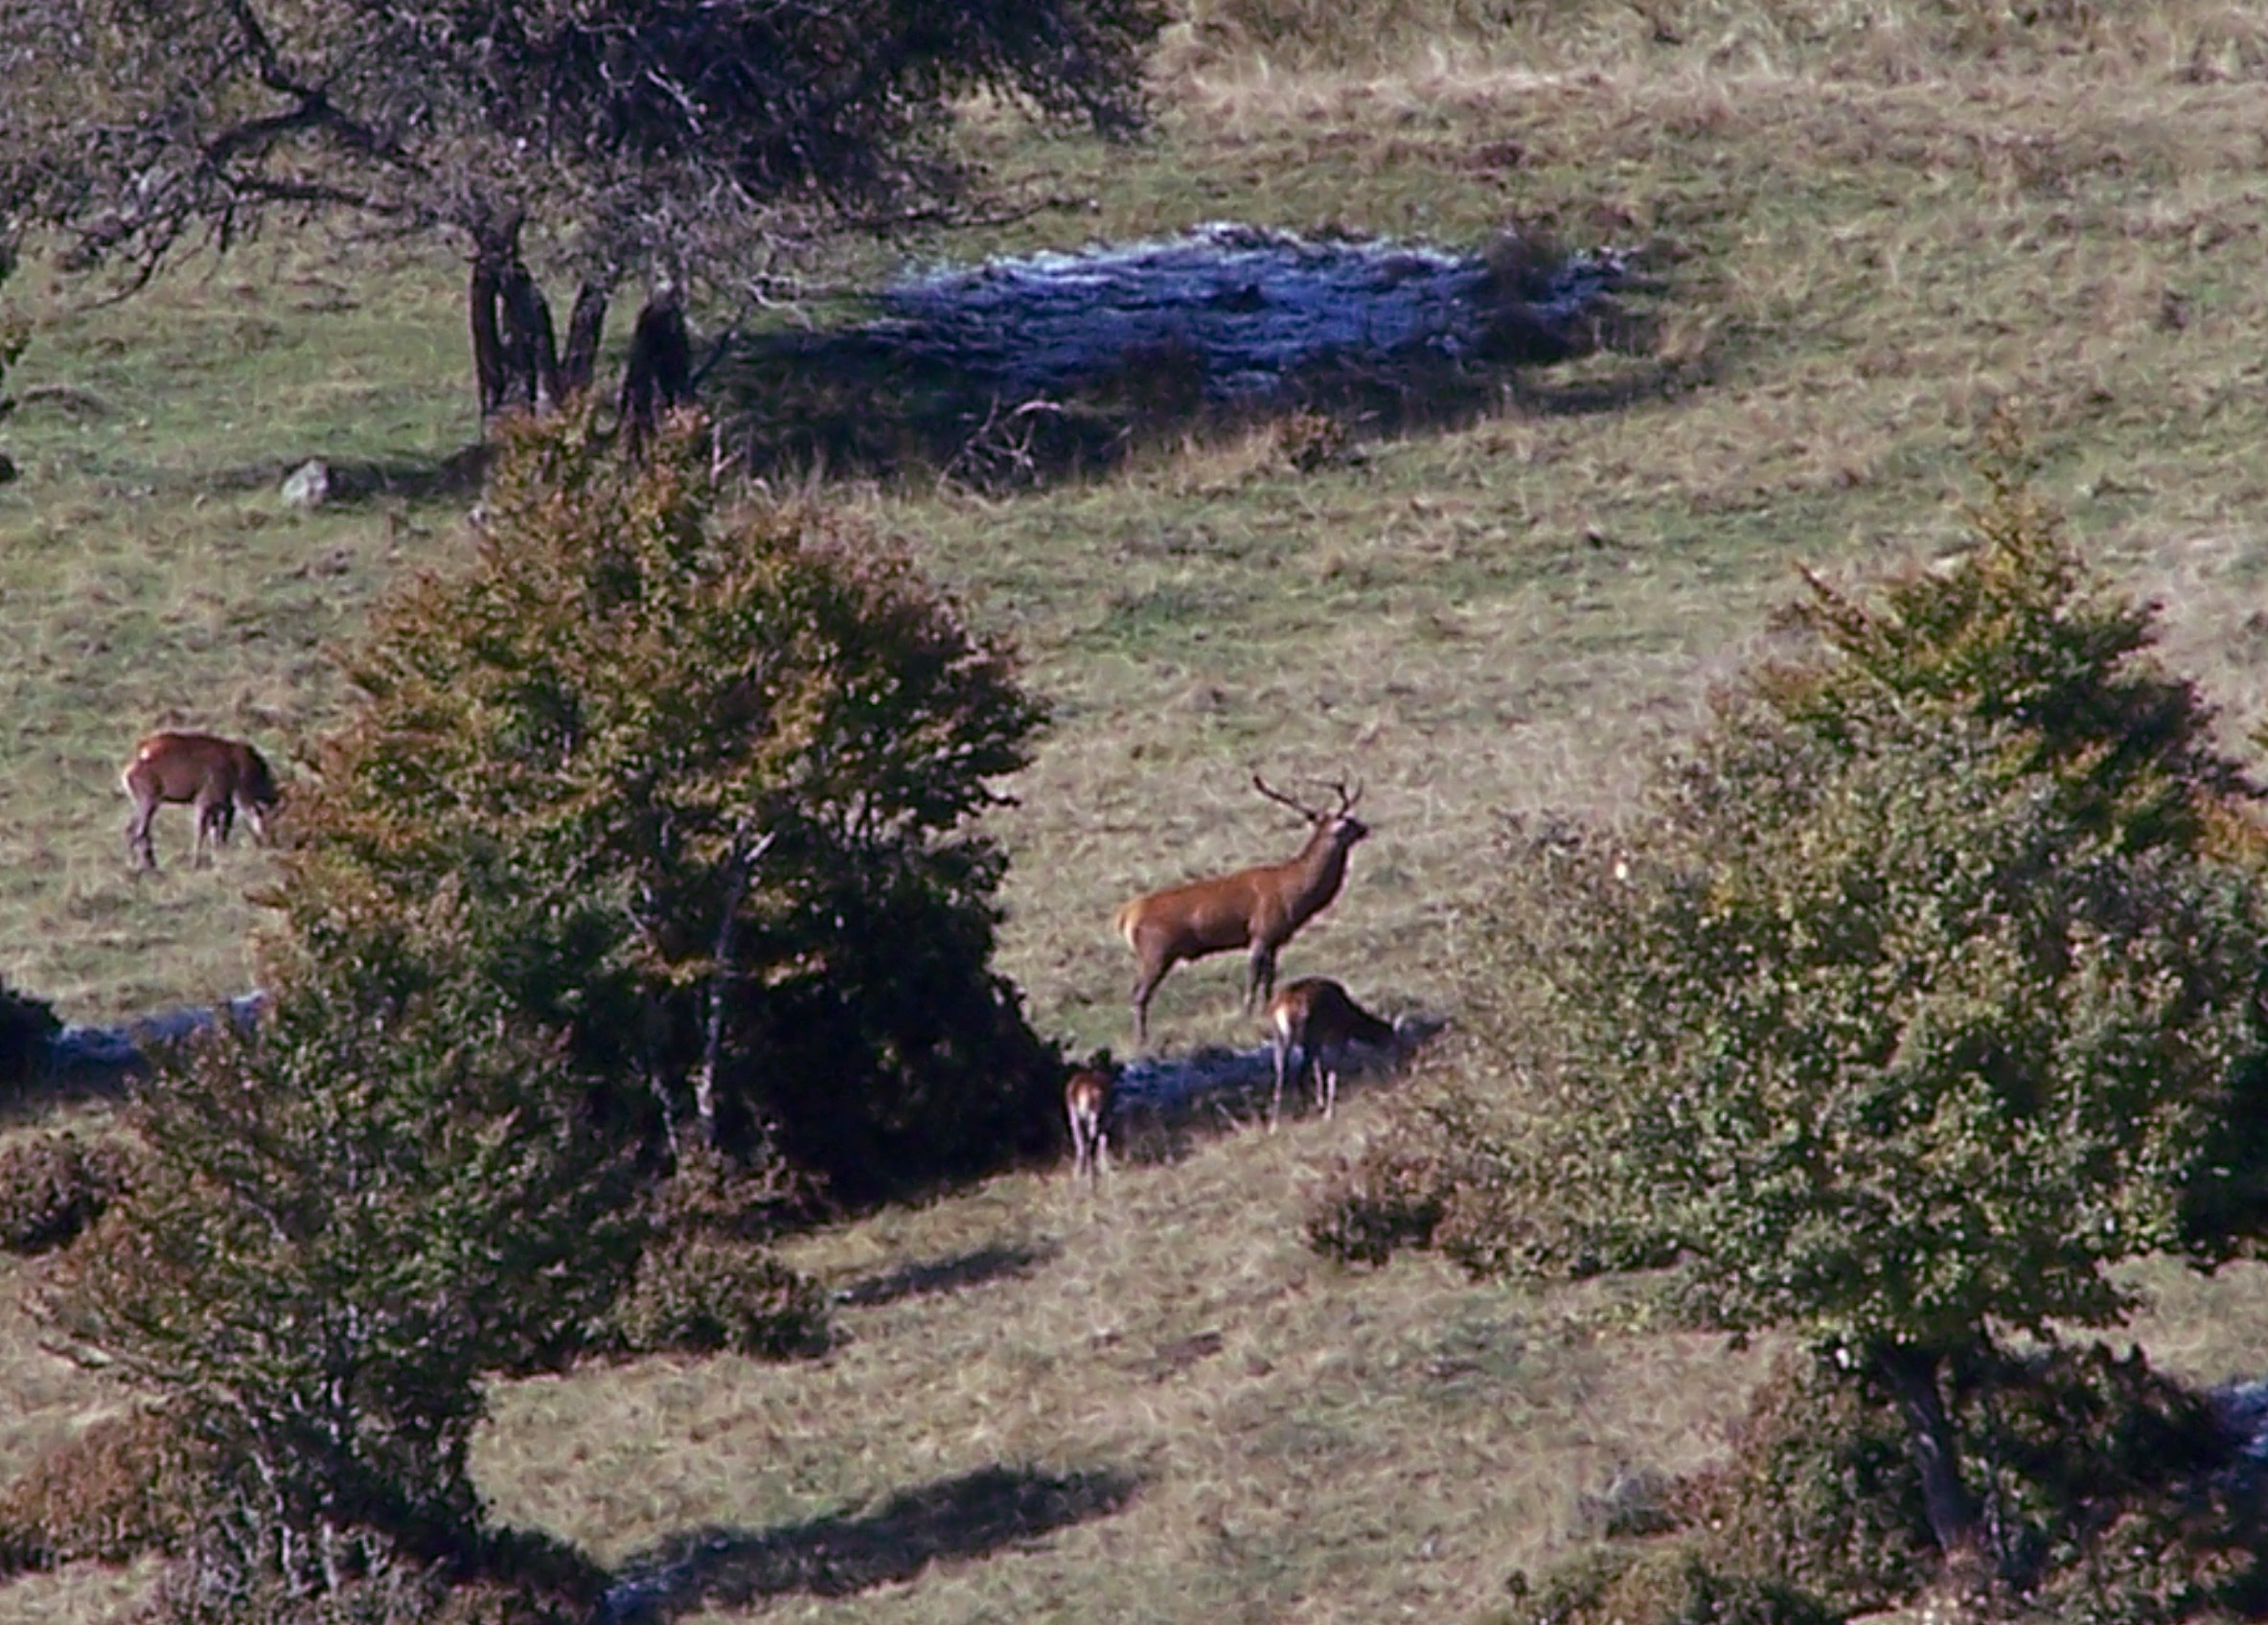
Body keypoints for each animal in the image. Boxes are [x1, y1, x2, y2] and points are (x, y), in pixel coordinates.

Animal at [122, 731, 281, 873]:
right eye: (269, 820)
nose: (271, 844)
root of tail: (128, 772)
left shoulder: (219, 806)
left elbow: (216, 836)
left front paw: (218, 861)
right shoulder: (205, 802)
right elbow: (203, 833)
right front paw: (196, 864)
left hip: (146, 802)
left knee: (139, 830)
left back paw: (149, 866)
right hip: (148, 800)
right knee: (136, 830)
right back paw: (135, 866)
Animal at [1114, 774, 1368, 1050]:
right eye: (1346, 823)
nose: (1365, 827)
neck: (1294, 895)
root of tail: (1127, 916)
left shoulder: (1275, 940)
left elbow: (1270, 978)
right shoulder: (1261, 931)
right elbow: (1253, 977)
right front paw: (1247, 1015)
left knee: (1134, 990)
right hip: (1157, 951)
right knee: (1140, 995)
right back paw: (1142, 1039)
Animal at [1264, 976, 1404, 1130]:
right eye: (1393, 1044)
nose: (1396, 1069)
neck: (1350, 1021)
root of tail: (1281, 1007)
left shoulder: (1319, 1043)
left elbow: (1318, 1070)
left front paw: (1321, 1103)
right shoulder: (1336, 1039)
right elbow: (1332, 1072)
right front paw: (1328, 1112)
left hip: (1281, 1039)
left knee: (1281, 1074)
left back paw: (1274, 1124)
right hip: (1307, 1035)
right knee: (1300, 1073)